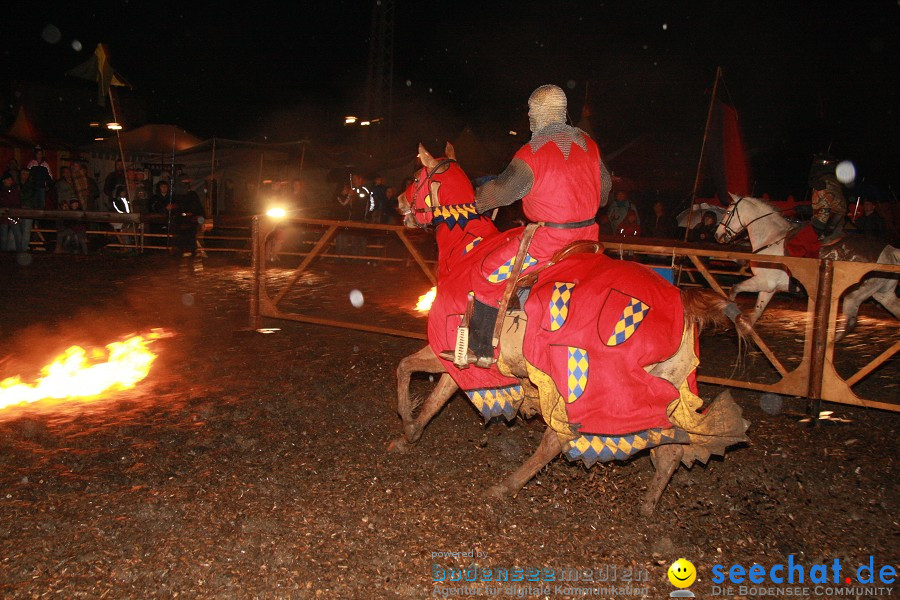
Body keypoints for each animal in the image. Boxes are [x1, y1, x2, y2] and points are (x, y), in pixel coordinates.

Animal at [712, 195, 896, 340]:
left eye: (727, 212)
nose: (717, 235)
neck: (772, 238)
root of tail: (889, 251)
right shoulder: (769, 288)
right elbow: (757, 312)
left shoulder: (764, 281)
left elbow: (734, 289)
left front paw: (728, 319)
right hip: (883, 294)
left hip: (854, 295)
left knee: (850, 322)